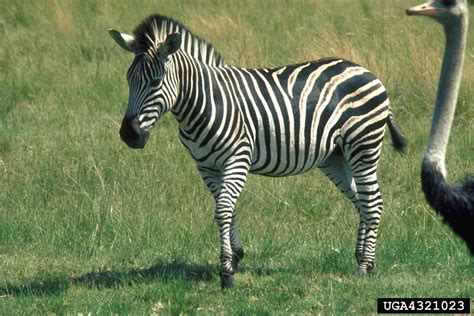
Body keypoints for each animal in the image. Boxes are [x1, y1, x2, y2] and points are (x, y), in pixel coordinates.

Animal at [109, 15, 406, 288]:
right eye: (128, 79)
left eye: (156, 81)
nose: (128, 135)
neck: (204, 101)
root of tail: (365, 70)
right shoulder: (207, 166)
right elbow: (227, 208)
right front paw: (235, 257)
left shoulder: (237, 158)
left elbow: (223, 209)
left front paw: (226, 272)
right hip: (335, 157)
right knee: (361, 201)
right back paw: (365, 261)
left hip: (363, 146)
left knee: (373, 202)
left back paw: (364, 267)